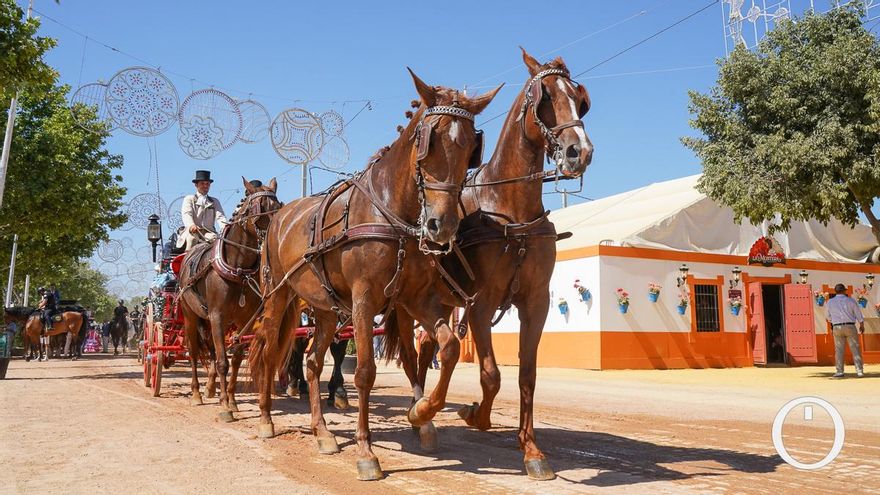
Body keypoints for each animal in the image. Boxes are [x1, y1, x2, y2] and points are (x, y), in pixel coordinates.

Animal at [178, 178, 281, 419]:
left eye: (278, 206)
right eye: (260, 208)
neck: (238, 269)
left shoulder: (243, 321)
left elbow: (234, 359)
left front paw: (232, 400)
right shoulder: (217, 316)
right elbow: (223, 362)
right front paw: (225, 407)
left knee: (212, 351)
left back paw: (211, 389)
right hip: (190, 317)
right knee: (194, 353)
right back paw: (196, 393)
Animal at [248, 70, 501, 480]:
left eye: (470, 150)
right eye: (428, 142)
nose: (442, 226)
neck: (391, 213)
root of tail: (278, 218)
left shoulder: (415, 299)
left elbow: (446, 348)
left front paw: (422, 413)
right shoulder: (364, 300)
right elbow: (365, 371)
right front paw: (367, 451)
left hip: (324, 310)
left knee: (313, 362)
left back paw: (323, 433)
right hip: (278, 297)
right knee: (270, 354)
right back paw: (266, 419)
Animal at [385, 49, 592, 480]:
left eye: (580, 100)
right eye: (544, 98)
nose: (579, 151)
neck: (510, 214)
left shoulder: (536, 303)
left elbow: (527, 375)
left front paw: (531, 449)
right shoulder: (481, 303)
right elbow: (491, 375)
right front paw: (474, 413)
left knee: (428, 348)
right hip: (405, 303)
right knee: (413, 356)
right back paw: (420, 414)